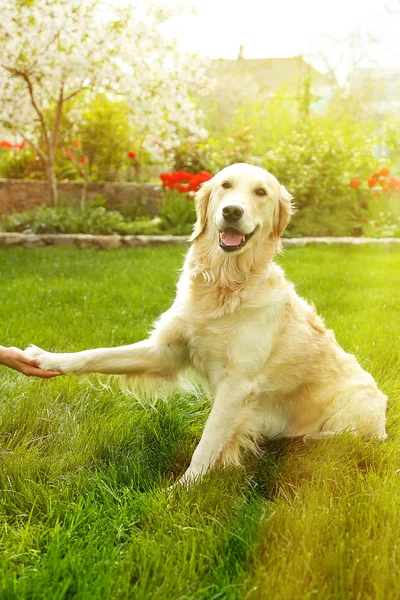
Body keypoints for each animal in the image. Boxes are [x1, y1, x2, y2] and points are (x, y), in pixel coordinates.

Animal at [25, 163, 388, 482]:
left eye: (260, 192)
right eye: (225, 185)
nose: (232, 212)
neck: (223, 285)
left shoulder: (238, 384)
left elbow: (207, 443)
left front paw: (180, 493)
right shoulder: (166, 351)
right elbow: (98, 355)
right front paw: (48, 359)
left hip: (356, 405)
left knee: (349, 440)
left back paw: (305, 440)